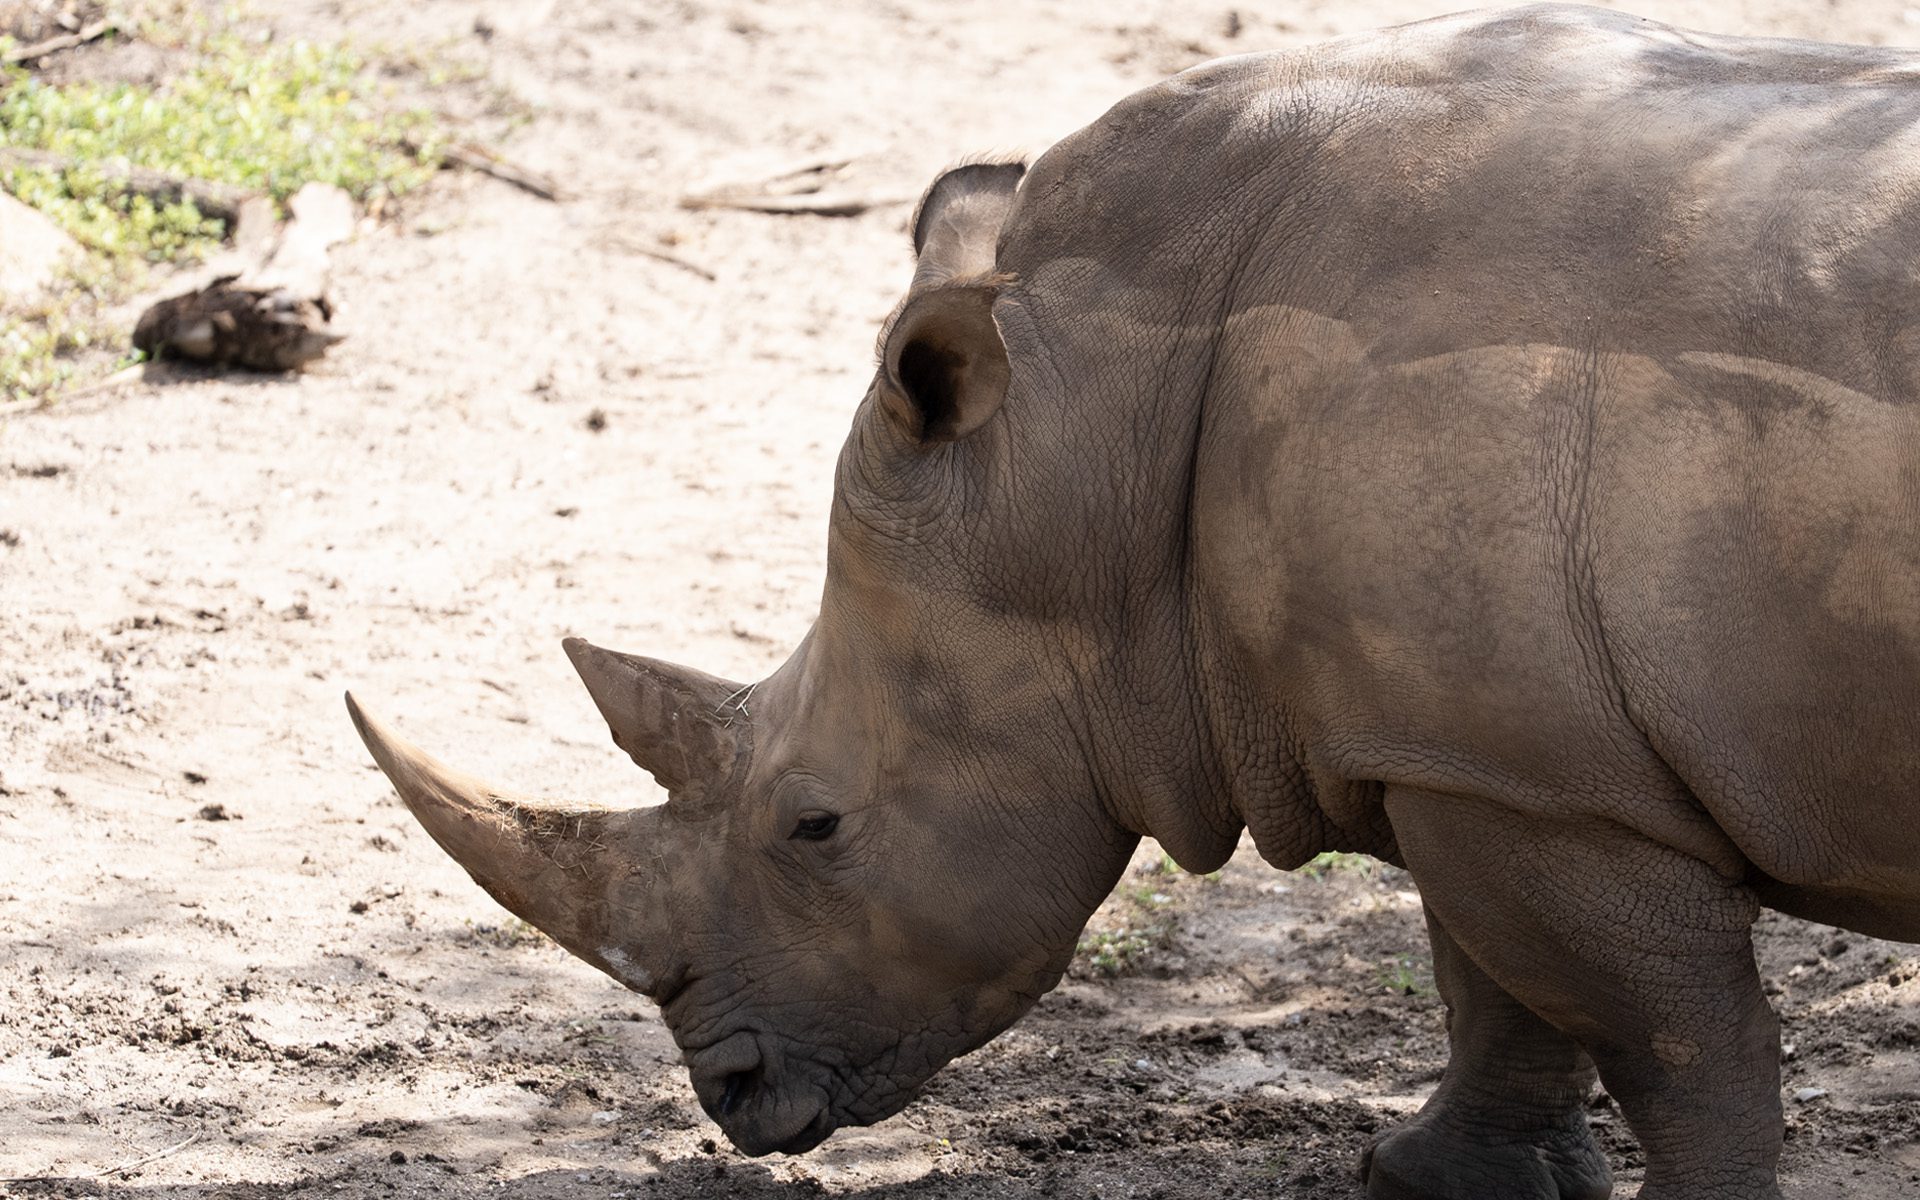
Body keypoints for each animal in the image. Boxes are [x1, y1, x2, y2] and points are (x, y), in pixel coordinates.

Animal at [345, 5, 1920, 1197]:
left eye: (816, 825)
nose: (732, 1092)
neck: (1085, 434)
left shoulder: (1533, 774)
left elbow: (1677, 1049)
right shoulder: (1459, 751)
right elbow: (1496, 985)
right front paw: (1436, 1184)